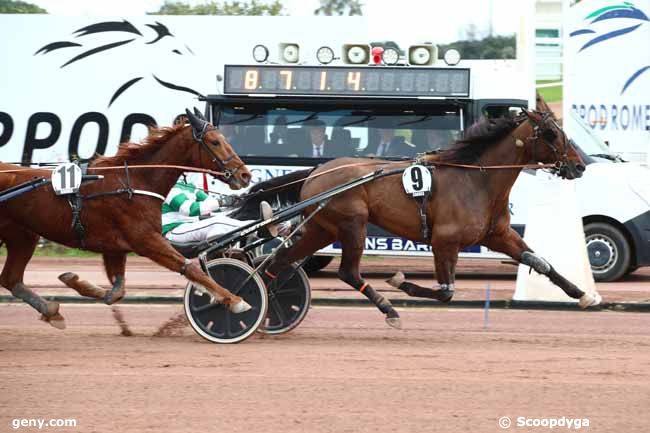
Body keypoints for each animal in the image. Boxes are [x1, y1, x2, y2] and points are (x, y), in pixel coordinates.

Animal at [0, 108, 251, 328]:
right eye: (215, 141)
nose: (245, 175)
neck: (134, 183)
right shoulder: (146, 240)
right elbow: (190, 267)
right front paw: (235, 300)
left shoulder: (115, 248)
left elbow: (116, 293)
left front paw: (74, 281)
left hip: (23, 236)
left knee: (10, 279)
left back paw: (51, 310)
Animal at [240, 111, 600, 328]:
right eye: (551, 133)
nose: (579, 166)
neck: (476, 179)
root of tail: (316, 170)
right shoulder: (445, 241)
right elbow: (446, 292)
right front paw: (401, 281)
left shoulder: (497, 234)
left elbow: (540, 262)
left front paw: (583, 294)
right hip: (352, 224)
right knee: (348, 272)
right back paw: (389, 309)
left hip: (321, 228)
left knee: (279, 261)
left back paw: (264, 305)